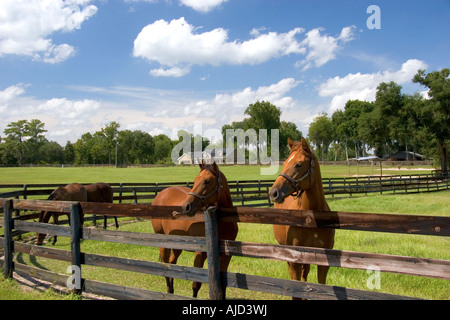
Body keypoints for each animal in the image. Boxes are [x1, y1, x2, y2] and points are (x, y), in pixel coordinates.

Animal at [152, 161, 239, 298]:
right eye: (195, 180)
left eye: (207, 181)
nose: (186, 206)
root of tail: (161, 195)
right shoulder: (200, 254)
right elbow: (196, 284)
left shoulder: (226, 256)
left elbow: (223, 286)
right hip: (163, 243)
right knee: (166, 266)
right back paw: (169, 291)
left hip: (177, 245)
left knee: (172, 263)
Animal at [268, 138, 336, 298]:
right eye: (285, 163)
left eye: (298, 164)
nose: (273, 192)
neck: (311, 219)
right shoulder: (294, 260)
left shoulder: (324, 261)